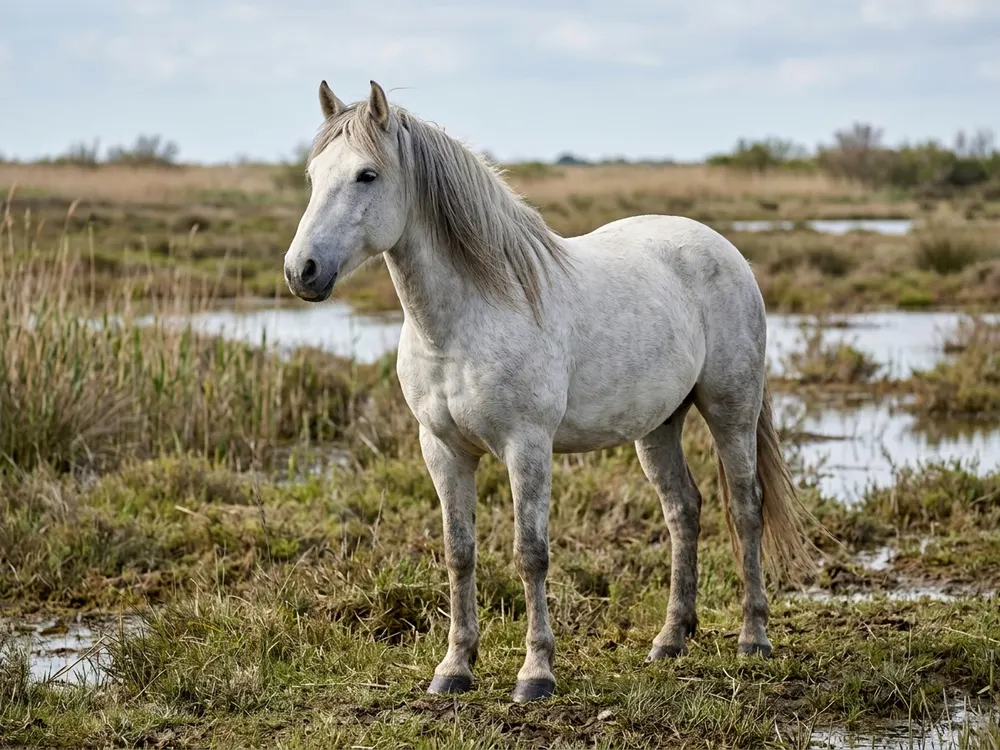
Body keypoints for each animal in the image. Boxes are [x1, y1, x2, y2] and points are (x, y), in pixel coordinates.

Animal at [283, 79, 819, 703]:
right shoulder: (441, 448)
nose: (302, 271)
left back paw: (753, 638)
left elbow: (531, 555)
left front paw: (535, 673)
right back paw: (670, 640)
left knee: (746, 506)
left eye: (366, 175)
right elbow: (458, 553)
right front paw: (454, 668)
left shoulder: (527, 446)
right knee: (683, 511)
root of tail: (722, 247)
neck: (468, 318)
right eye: (312, 175)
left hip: (731, 410)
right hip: (658, 425)